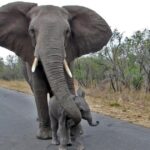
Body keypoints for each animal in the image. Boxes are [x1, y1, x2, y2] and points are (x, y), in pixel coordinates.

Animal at [0, 1, 111, 139]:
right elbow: (39, 89)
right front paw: (44, 136)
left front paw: (77, 132)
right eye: (32, 31)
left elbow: (68, 85)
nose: (97, 122)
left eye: (67, 32)